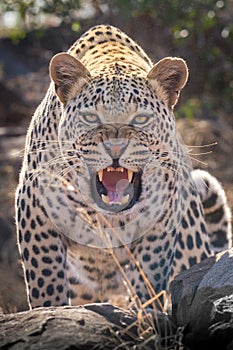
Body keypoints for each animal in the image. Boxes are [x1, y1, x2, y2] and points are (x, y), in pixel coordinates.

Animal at [15, 24, 231, 308]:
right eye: (90, 117)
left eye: (140, 119)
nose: (115, 148)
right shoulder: (35, 207)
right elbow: (46, 282)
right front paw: (51, 312)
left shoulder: (162, 213)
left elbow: (149, 273)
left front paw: (145, 313)